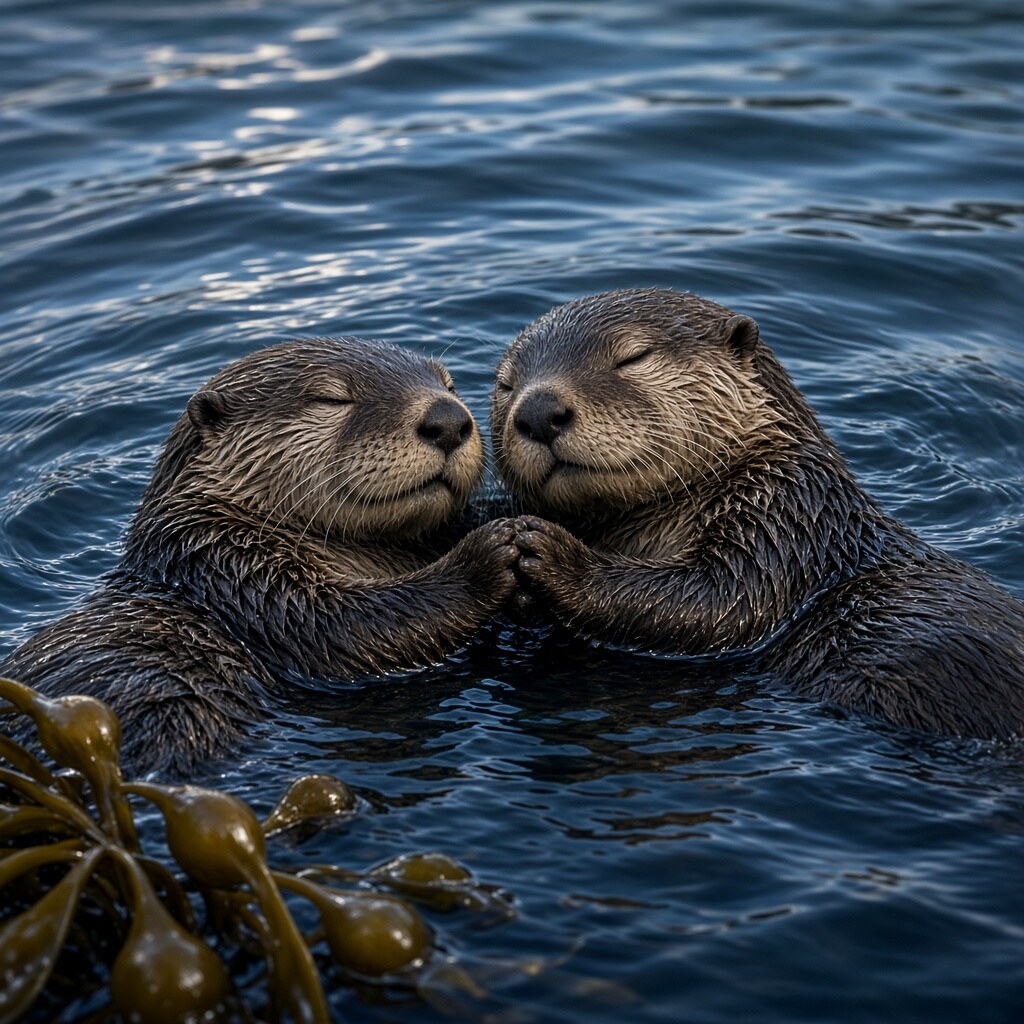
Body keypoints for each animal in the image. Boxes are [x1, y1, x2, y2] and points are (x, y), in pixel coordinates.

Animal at [2, 338, 518, 774]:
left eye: (448, 385)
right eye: (331, 400)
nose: (448, 419)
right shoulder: (238, 574)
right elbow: (340, 628)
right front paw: (491, 552)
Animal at [491, 288, 1024, 740]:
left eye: (632, 357)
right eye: (506, 384)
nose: (539, 411)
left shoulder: (785, 522)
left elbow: (720, 599)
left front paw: (549, 554)